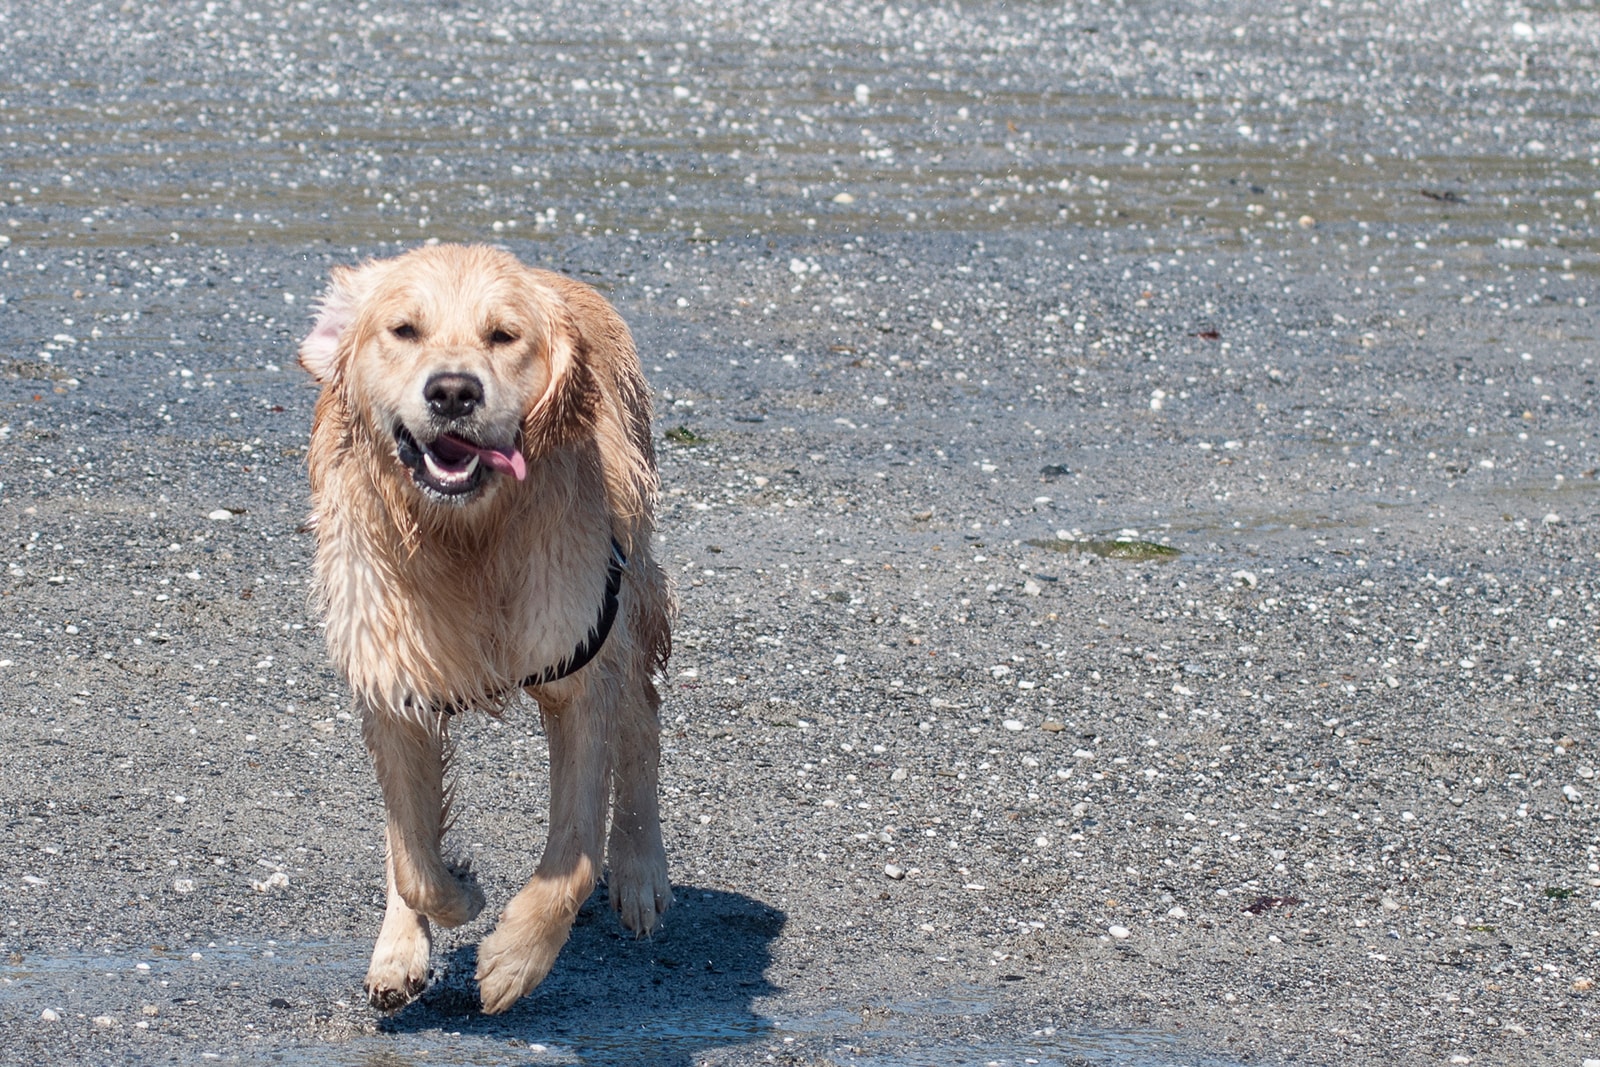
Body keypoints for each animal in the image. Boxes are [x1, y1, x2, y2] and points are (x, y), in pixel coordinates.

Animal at [297, 244, 672, 1017]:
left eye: (503, 335)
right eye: (404, 329)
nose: (452, 392)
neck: (465, 539)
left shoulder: (580, 664)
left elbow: (574, 856)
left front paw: (514, 960)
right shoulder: (391, 682)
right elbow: (413, 857)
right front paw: (453, 900)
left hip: (631, 588)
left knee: (643, 718)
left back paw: (641, 871)